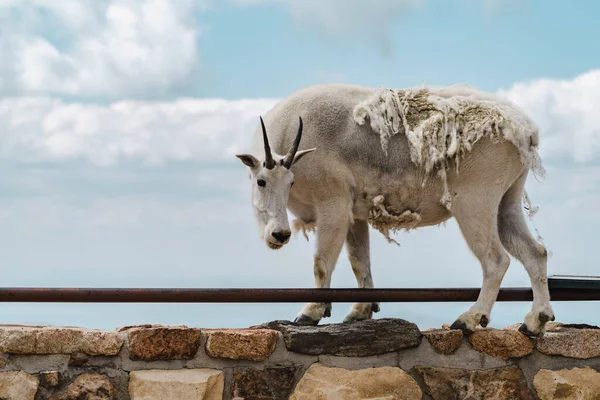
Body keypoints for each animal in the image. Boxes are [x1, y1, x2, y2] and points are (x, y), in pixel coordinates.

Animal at [237, 83, 556, 336]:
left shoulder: (333, 204)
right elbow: (359, 262)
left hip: (475, 201)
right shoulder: (354, 212)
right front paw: (361, 311)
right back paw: (536, 320)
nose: (279, 235)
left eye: (289, 181)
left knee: (496, 260)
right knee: (535, 252)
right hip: (507, 200)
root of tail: (526, 132)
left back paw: (470, 319)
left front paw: (311, 312)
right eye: (261, 181)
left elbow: (322, 262)